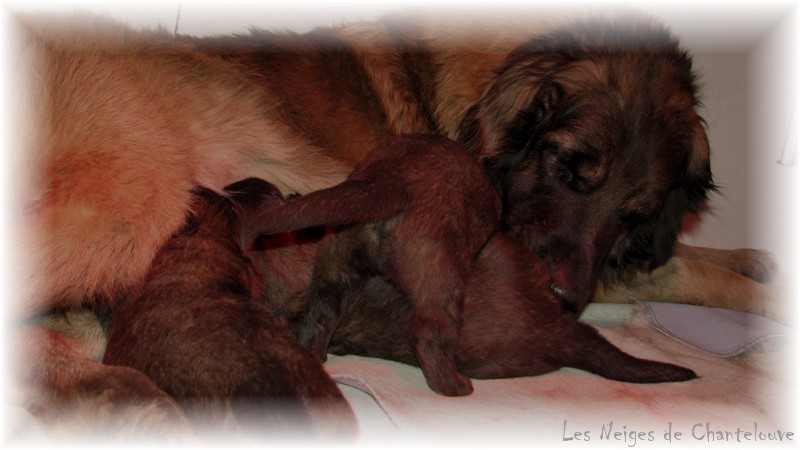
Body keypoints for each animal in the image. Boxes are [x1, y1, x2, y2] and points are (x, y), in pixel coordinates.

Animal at [247, 134, 696, 394]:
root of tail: (389, 181)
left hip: (338, 263)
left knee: (321, 315)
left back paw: (315, 355)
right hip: (441, 276)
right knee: (429, 335)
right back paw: (454, 386)